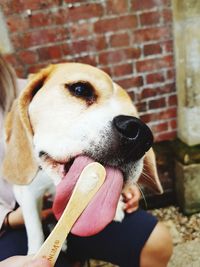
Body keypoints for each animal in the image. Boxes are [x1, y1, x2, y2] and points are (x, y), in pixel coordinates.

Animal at [1, 62, 162, 255]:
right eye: (80, 89)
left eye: (136, 116)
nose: (140, 135)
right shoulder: (26, 192)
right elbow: (34, 229)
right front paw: (36, 252)